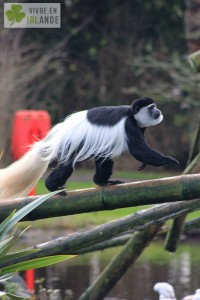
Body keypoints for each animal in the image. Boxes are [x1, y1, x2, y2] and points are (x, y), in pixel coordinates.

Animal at [0, 97, 179, 200]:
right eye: (151, 108)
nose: (158, 111)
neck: (131, 114)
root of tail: (61, 131)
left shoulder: (140, 127)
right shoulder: (130, 125)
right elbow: (138, 148)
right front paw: (169, 160)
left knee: (104, 161)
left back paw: (103, 182)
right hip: (71, 143)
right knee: (66, 168)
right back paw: (52, 187)